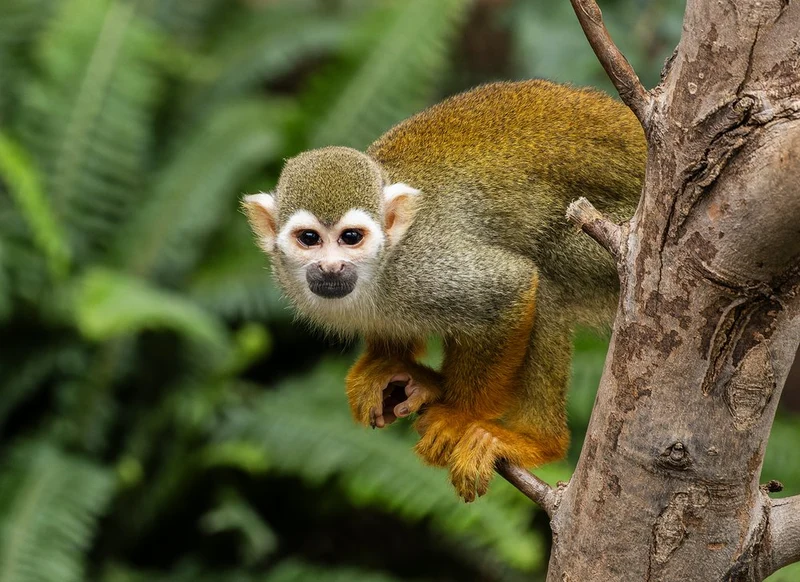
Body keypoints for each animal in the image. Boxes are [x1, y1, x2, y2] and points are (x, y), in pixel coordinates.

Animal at [243, 79, 646, 502]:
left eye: (351, 238)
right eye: (309, 239)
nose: (331, 267)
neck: (381, 269)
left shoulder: (424, 268)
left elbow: (512, 284)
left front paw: (459, 416)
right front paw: (388, 365)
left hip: (613, 242)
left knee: (547, 282)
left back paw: (535, 439)